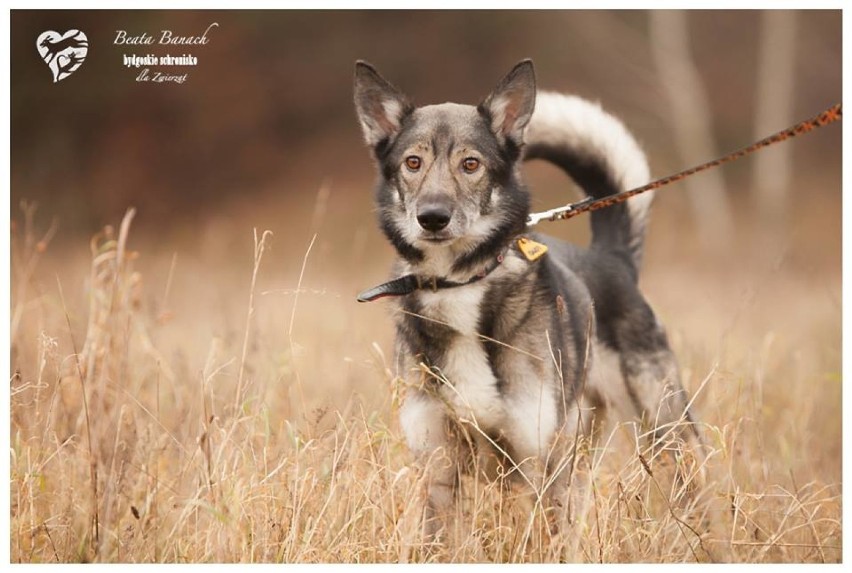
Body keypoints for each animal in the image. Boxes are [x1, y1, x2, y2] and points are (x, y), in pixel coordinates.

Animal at [352, 58, 700, 536]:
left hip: (664, 429)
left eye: (471, 163)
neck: (460, 284)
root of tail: (611, 257)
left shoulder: (538, 466)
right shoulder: (438, 472)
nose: (433, 218)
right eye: (412, 162)